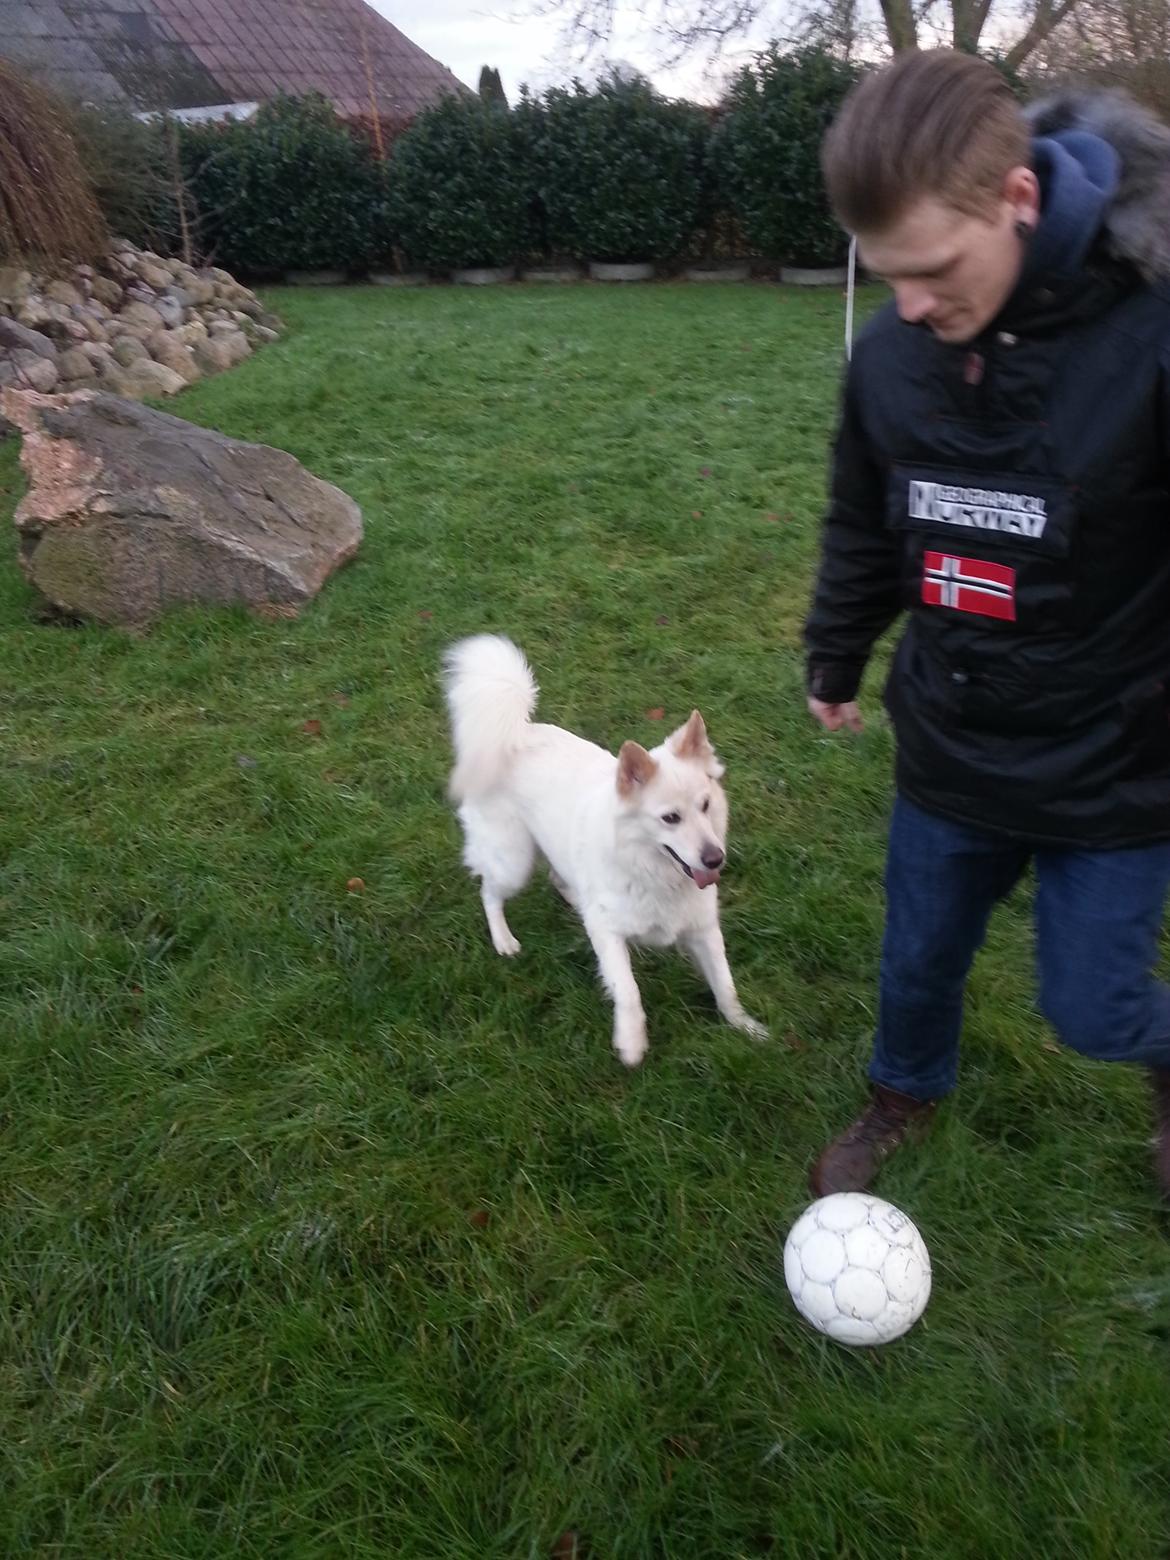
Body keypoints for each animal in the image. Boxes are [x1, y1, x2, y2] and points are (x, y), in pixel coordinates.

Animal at [443, 630, 770, 1060]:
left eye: (705, 805)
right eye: (671, 818)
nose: (716, 860)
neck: (651, 872)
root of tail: (517, 733)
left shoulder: (704, 931)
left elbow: (726, 987)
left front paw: (746, 1028)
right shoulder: (610, 936)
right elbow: (628, 991)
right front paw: (631, 1042)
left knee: (557, 878)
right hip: (514, 862)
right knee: (489, 892)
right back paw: (503, 940)